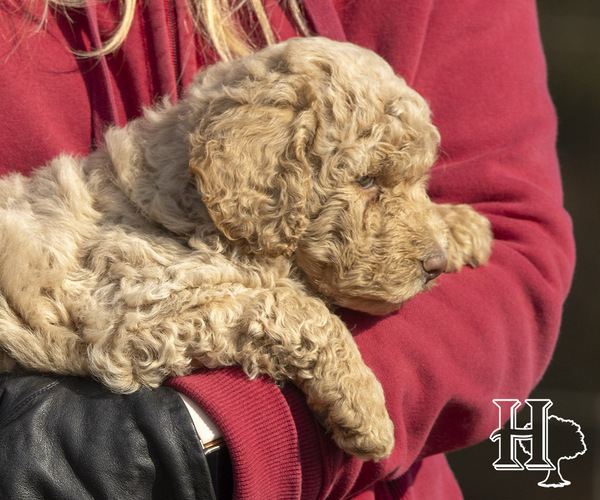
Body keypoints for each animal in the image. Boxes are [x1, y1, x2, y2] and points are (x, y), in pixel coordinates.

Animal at [0, 38, 490, 460]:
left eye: (419, 180)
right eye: (367, 181)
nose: (435, 264)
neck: (191, 210)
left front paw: (460, 225)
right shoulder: (137, 311)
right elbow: (297, 307)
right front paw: (363, 404)